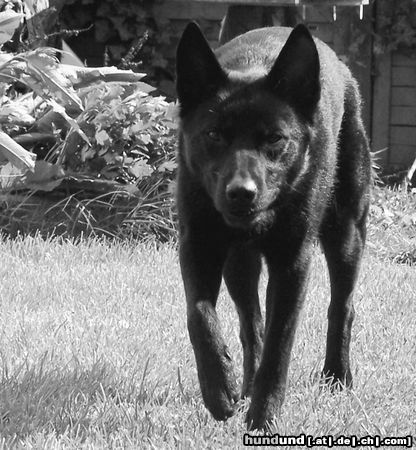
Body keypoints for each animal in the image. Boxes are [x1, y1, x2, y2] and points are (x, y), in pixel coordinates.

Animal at [176, 22, 370, 430]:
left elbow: (281, 342)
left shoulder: (292, 262)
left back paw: (337, 376)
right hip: (239, 264)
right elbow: (200, 317)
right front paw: (220, 391)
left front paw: (264, 415)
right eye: (214, 134)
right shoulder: (199, 245)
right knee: (252, 325)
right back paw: (244, 385)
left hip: (347, 233)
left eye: (275, 138)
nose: (241, 194)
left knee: (341, 307)